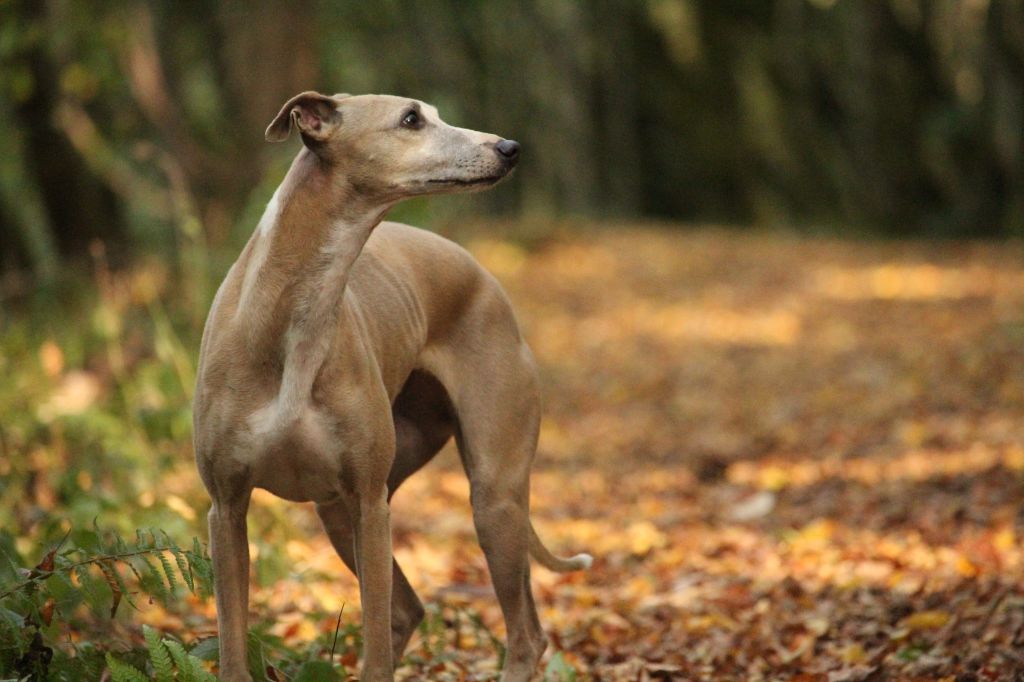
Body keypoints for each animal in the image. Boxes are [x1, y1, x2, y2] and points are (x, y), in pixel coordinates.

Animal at [192, 91, 593, 679]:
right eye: (410, 119)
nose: (510, 148)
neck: (293, 314)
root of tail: (482, 275)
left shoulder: (369, 502)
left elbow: (378, 649)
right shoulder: (227, 508)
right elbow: (232, 649)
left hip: (490, 496)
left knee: (523, 633)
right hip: (343, 513)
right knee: (414, 609)